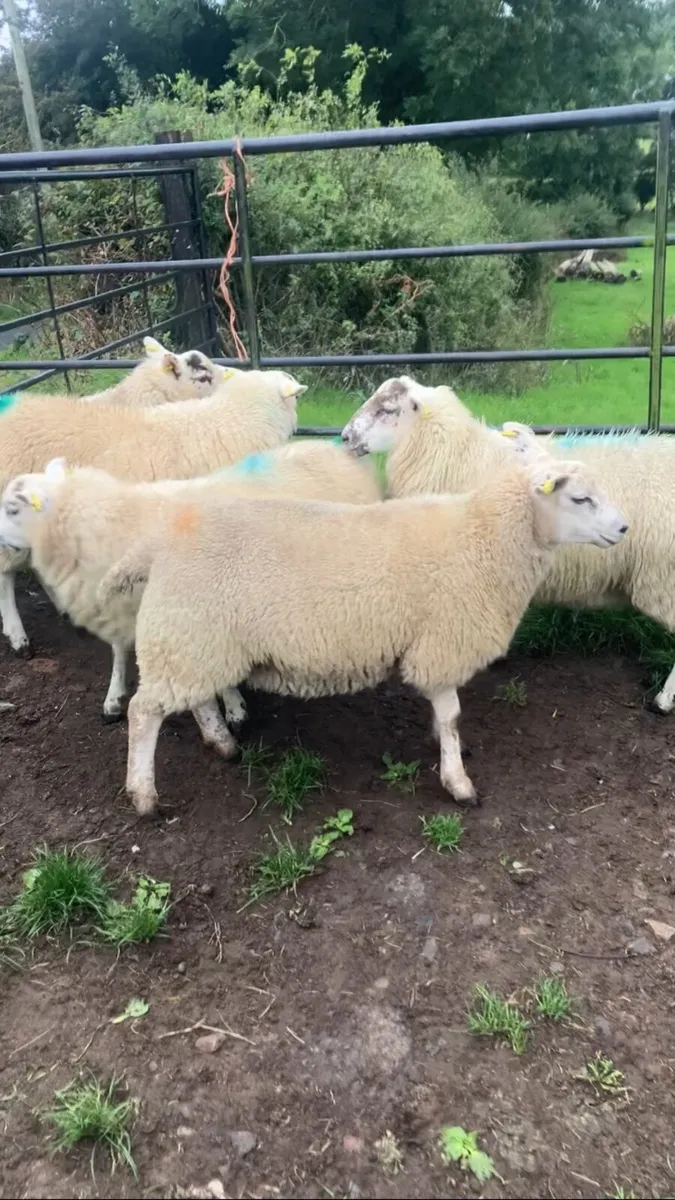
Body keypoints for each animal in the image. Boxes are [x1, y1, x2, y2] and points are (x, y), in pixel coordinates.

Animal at [0, 441, 381, 723]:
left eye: (13, 509)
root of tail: (338, 451)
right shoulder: (123, 608)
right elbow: (119, 650)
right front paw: (113, 697)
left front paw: (233, 708)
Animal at [92, 456, 627, 815]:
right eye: (580, 498)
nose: (624, 528)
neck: (485, 538)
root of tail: (161, 540)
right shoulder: (442, 643)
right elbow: (452, 715)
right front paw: (458, 781)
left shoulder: (434, 646)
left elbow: (443, 714)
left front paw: (442, 745)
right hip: (187, 635)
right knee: (143, 712)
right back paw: (144, 795)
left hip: (199, 640)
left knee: (197, 699)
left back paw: (222, 743)